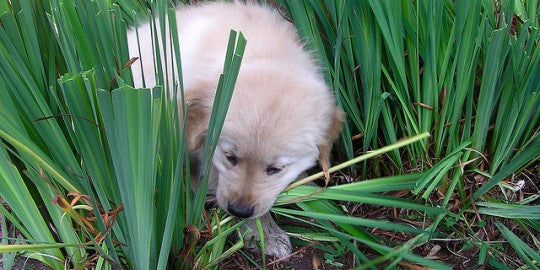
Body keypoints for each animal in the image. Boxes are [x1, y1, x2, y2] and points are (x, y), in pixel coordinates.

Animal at [129, 1, 344, 258]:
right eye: (230, 157)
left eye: (275, 169)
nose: (239, 210)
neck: (262, 51)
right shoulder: (208, 156)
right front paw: (265, 234)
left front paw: (310, 189)